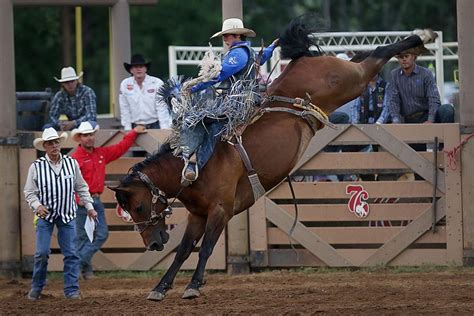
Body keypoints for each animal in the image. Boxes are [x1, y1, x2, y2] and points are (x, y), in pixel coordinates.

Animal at [111, 15, 436, 302]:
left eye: (139, 206)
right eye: (129, 211)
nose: (153, 243)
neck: (193, 164)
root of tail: (303, 60)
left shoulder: (220, 211)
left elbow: (205, 249)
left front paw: (193, 287)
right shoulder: (197, 215)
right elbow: (183, 250)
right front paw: (160, 288)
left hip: (349, 81)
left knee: (377, 54)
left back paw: (421, 37)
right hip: (348, 75)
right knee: (364, 54)